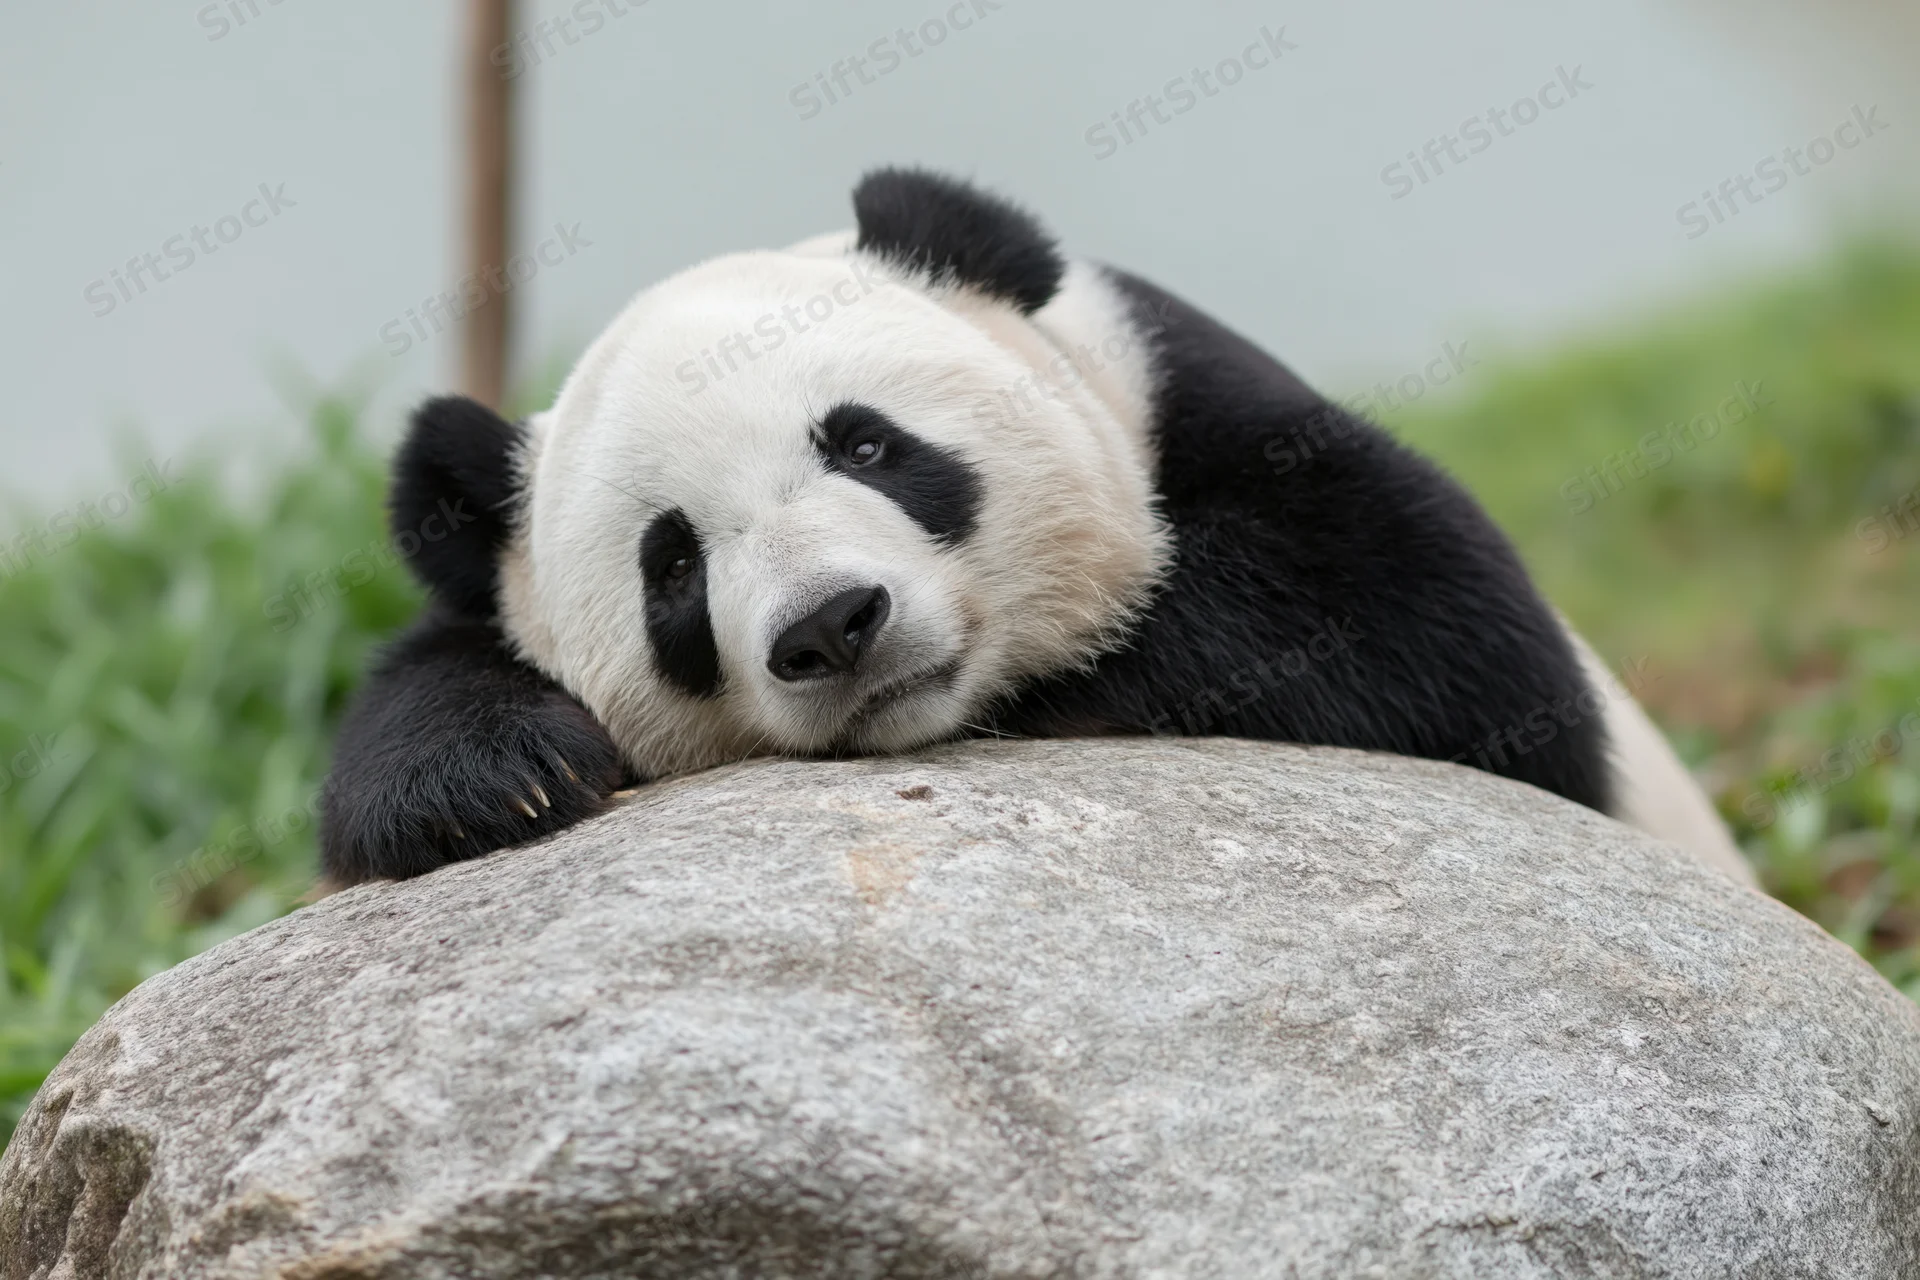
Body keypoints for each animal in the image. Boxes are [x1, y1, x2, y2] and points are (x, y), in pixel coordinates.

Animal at [320, 168, 1752, 888]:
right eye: (671, 564)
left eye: (865, 443)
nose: (834, 625)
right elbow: (422, 692)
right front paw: (497, 775)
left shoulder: (1174, 384)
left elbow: (1436, 620)